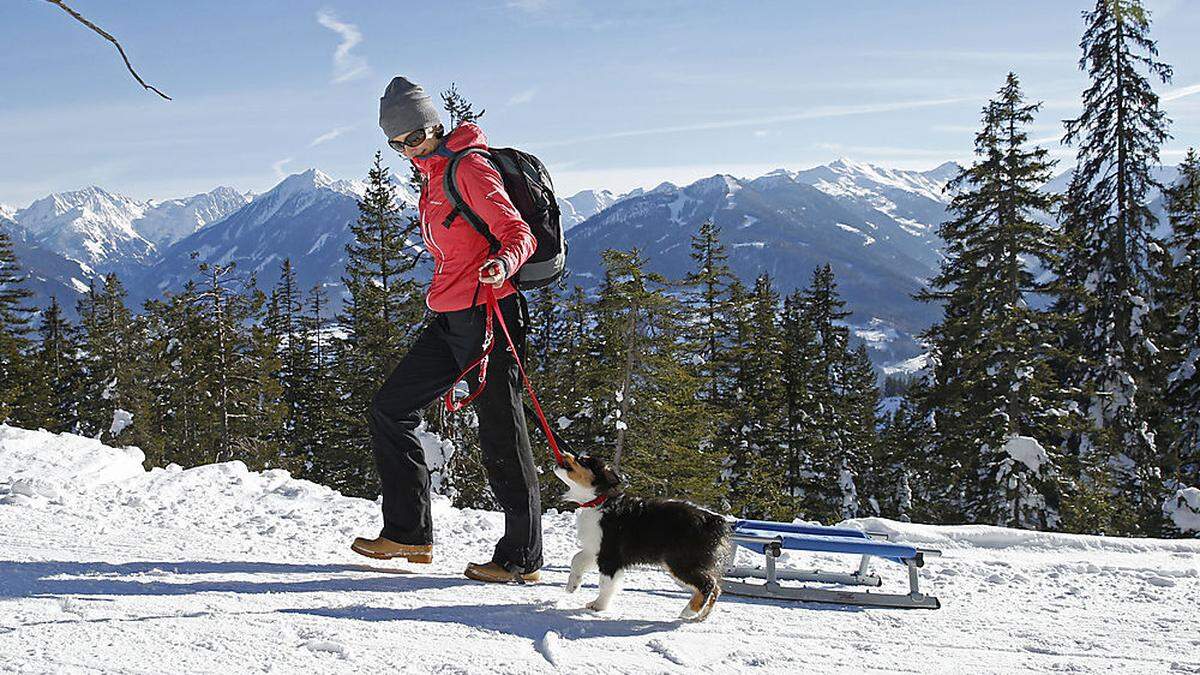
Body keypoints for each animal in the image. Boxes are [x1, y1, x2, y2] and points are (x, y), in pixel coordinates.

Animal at [549, 451, 724, 619]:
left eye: (583, 460)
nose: (563, 454)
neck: (599, 502)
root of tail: (713, 519)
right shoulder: (595, 548)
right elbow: (576, 559)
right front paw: (572, 586)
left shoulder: (610, 554)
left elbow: (606, 583)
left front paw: (599, 606)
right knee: (715, 586)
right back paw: (702, 615)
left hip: (680, 560)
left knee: (708, 583)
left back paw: (689, 612)